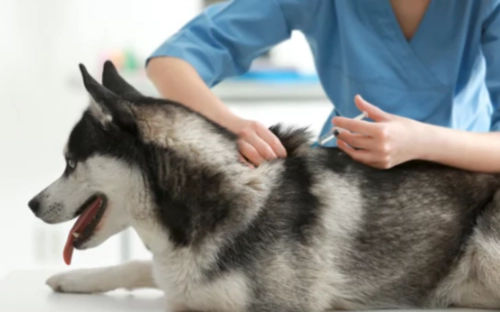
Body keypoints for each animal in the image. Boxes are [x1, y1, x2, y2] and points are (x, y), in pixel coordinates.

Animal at [28, 61, 500, 312]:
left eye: (70, 163)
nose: (32, 204)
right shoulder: (179, 274)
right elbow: (139, 266)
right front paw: (77, 279)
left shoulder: (277, 303)